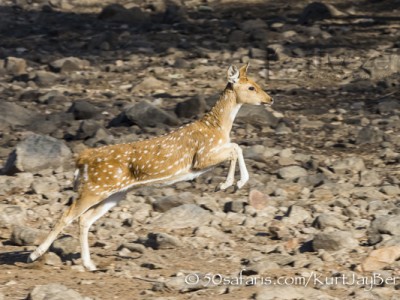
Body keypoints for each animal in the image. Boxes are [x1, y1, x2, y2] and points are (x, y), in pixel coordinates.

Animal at [27, 63, 272, 270]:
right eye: (251, 86)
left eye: (257, 83)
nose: (269, 99)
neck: (218, 127)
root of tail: (82, 159)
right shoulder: (200, 157)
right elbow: (235, 148)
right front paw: (229, 184)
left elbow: (236, 146)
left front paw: (234, 183)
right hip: (94, 188)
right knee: (68, 214)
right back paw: (34, 255)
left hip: (113, 193)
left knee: (85, 219)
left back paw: (89, 264)